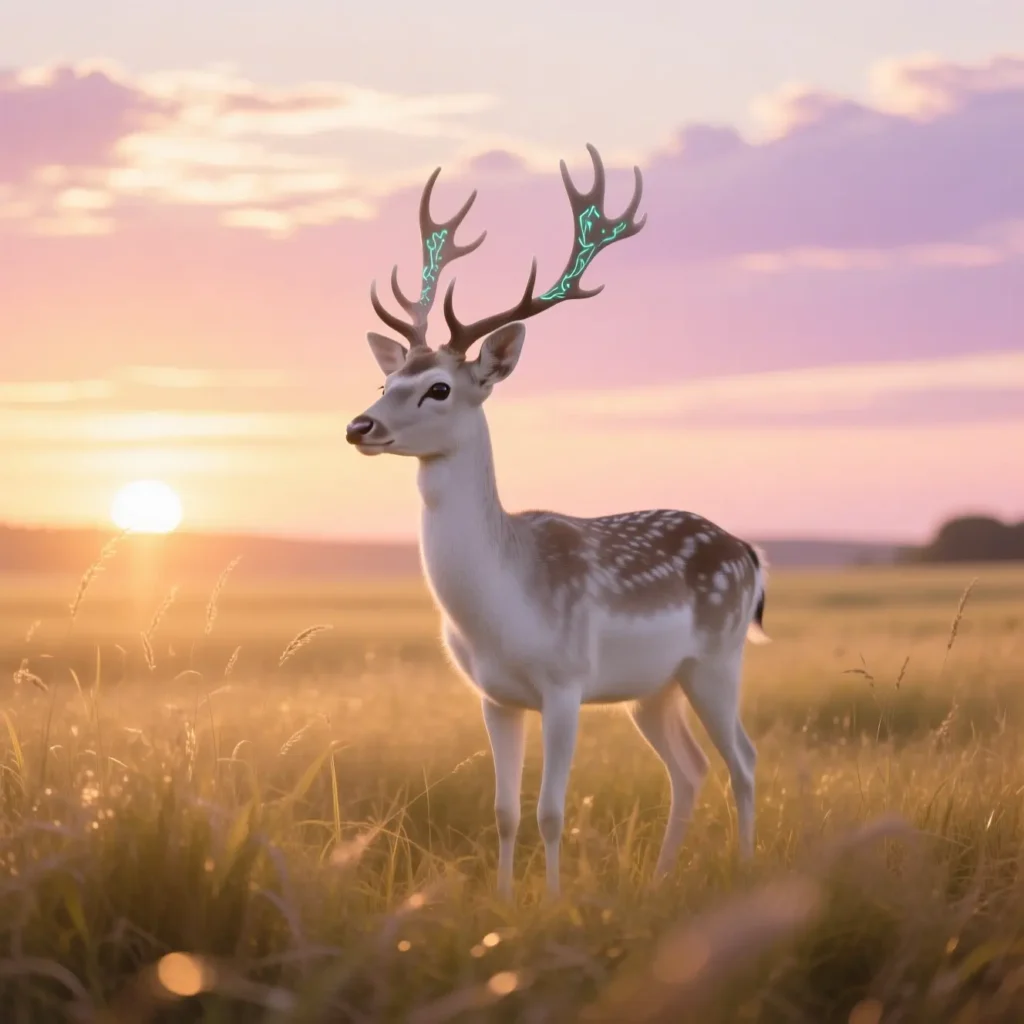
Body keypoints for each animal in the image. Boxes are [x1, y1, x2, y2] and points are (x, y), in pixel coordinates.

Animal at [345, 145, 769, 899]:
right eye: (385, 382)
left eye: (439, 387)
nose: (359, 426)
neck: (504, 605)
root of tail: (748, 553)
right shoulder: (494, 695)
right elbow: (504, 809)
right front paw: (505, 899)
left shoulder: (566, 682)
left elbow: (551, 810)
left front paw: (553, 902)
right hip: (653, 688)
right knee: (689, 769)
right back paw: (660, 879)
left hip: (718, 658)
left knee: (744, 761)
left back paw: (744, 869)